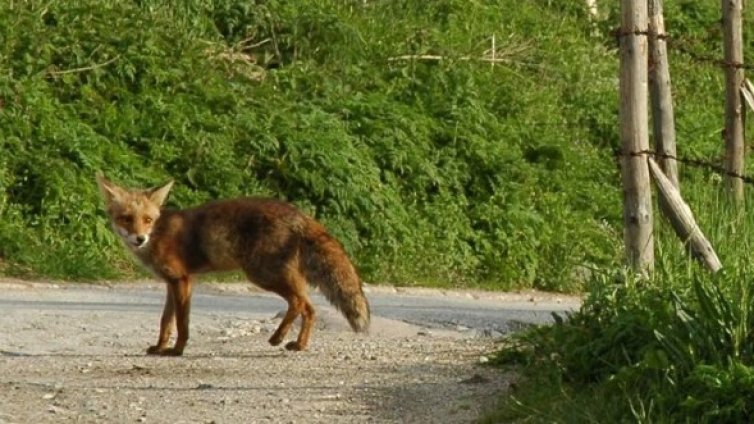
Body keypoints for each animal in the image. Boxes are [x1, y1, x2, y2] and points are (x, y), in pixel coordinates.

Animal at [94, 174, 370, 356]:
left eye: (148, 220)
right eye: (126, 219)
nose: (139, 238)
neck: (158, 234)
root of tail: (299, 214)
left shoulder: (183, 280)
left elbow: (182, 323)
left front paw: (177, 350)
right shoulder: (171, 283)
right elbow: (166, 321)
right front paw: (160, 347)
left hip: (262, 274)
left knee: (299, 303)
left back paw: (278, 337)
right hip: (280, 275)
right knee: (309, 308)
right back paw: (298, 344)